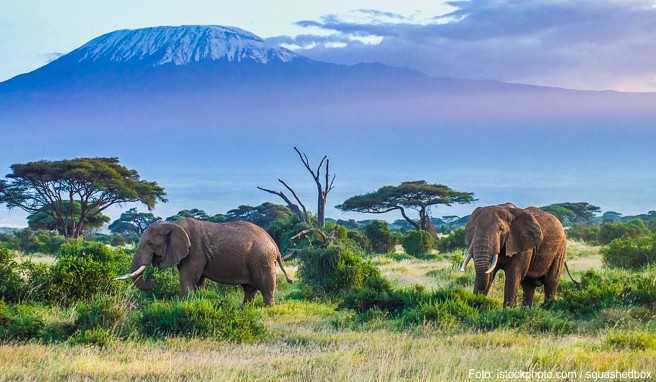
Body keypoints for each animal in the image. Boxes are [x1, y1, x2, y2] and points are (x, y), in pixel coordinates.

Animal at [116, 218, 292, 304]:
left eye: (150, 244)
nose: (153, 279)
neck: (173, 225)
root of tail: (274, 243)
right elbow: (197, 281)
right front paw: (195, 301)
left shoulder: (195, 251)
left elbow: (188, 278)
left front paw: (184, 304)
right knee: (249, 289)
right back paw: (245, 308)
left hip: (262, 259)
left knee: (266, 287)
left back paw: (268, 308)